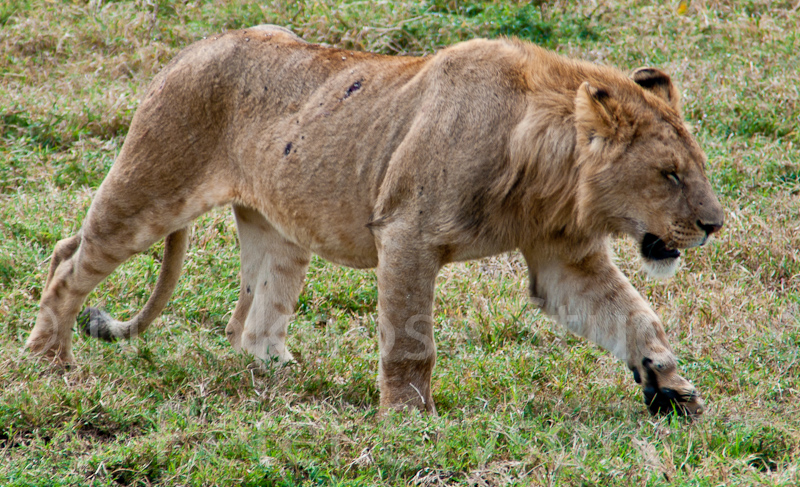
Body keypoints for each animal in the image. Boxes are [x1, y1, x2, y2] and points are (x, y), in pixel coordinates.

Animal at [26, 25, 724, 416]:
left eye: (695, 167)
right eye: (669, 174)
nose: (715, 225)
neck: (546, 173)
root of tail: (188, 51)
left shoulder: (563, 259)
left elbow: (635, 317)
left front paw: (672, 388)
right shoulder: (407, 233)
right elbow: (411, 342)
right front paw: (408, 420)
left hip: (280, 232)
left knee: (252, 321)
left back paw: (287, 377)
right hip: (150, 189)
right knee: (67, 260)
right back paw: (48, 362)